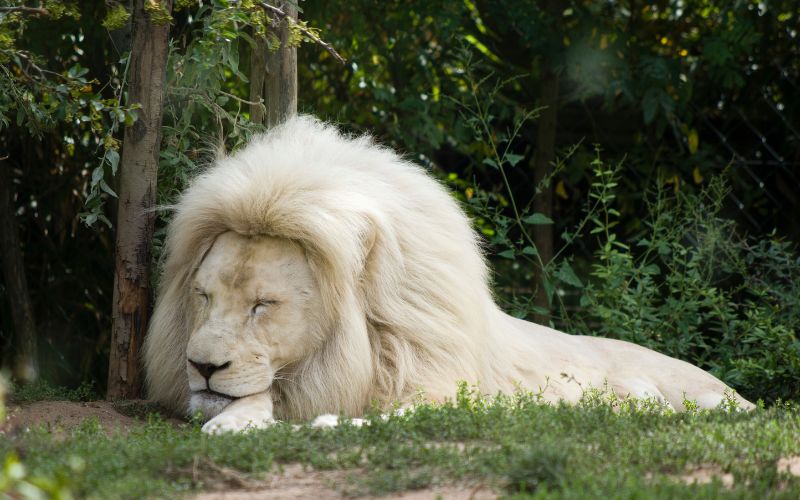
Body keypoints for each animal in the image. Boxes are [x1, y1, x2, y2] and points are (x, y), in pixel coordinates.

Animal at [142, 115, 752, 432]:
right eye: (203, 296)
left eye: (263, 305)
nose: (202, 366)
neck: (359, 343)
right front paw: (235, 417)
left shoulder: (444, 394)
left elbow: (373, 419)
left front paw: (321, 423)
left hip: (695, 394)